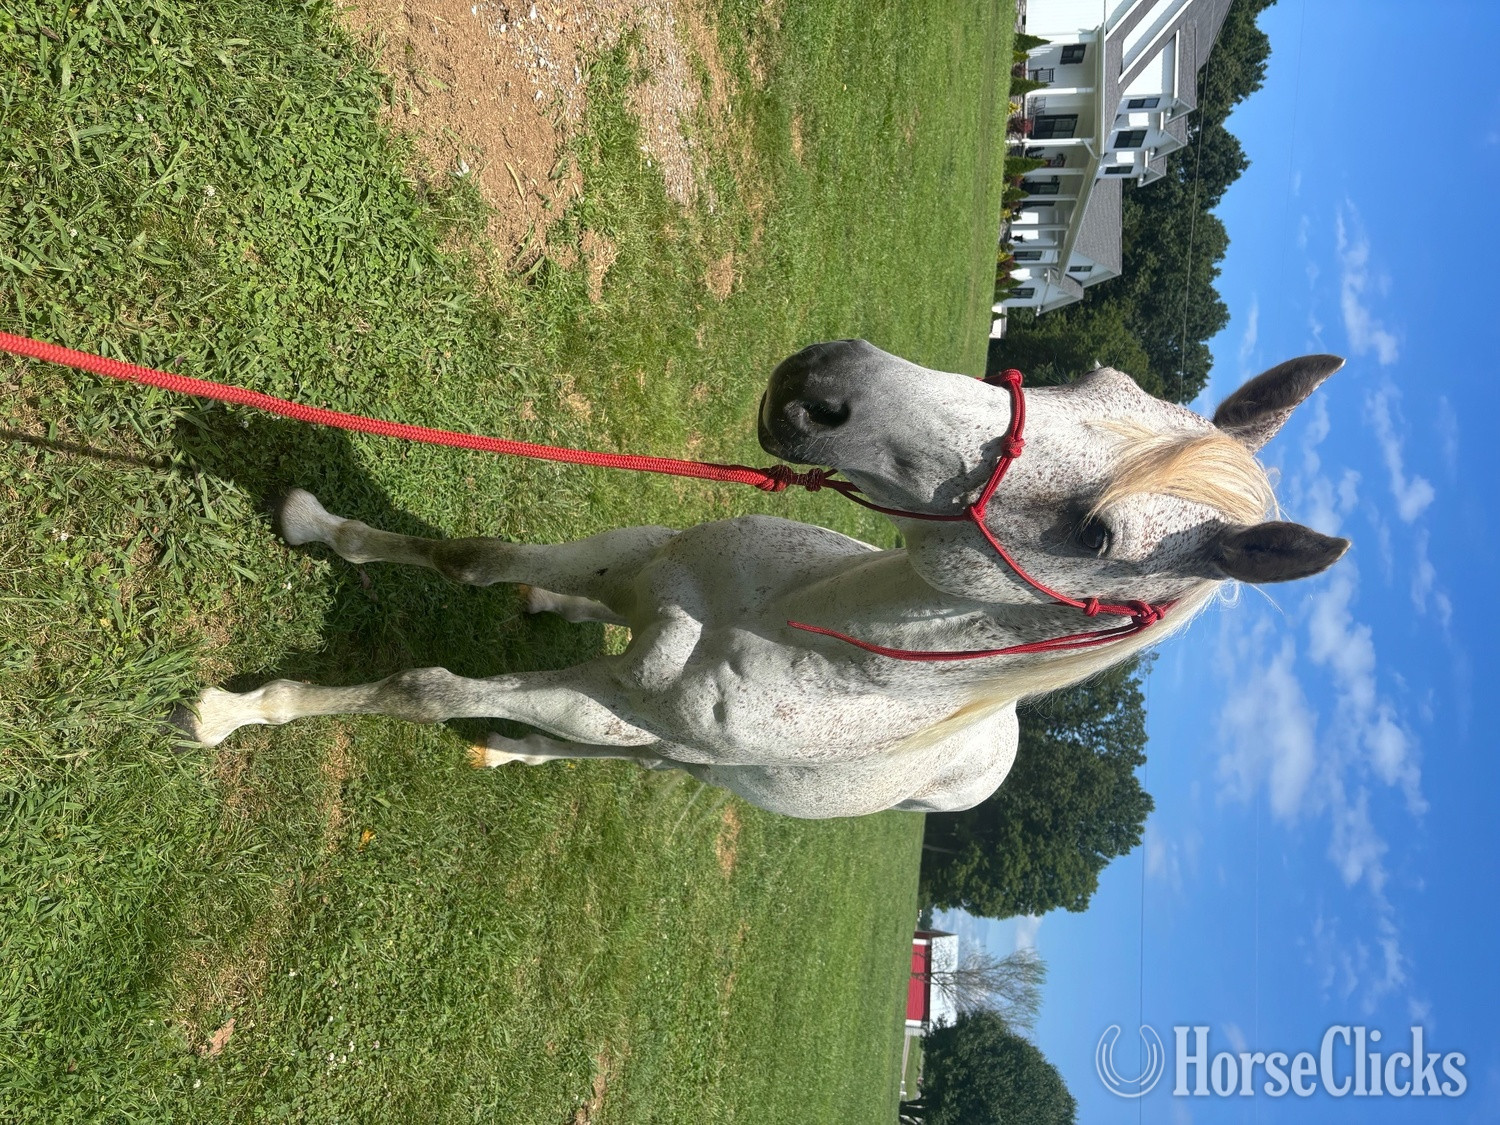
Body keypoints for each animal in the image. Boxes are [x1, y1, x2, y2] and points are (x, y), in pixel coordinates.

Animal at [175, 340, 1349, 818]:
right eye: (1099, 374)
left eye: (1099, 536)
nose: (824, 384)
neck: (791, 626)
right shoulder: (645, 554)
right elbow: (477, 559)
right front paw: (314, 522)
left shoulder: (613, 699)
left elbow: (424, 689)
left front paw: (238, 712)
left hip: (680, 756)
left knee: (625, 761)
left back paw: (510, 749)